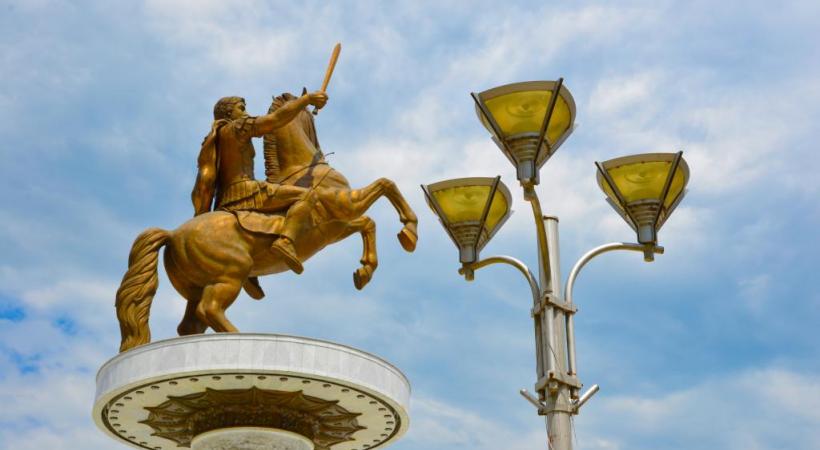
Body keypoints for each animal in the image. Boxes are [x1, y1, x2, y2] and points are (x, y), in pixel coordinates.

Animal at [114, 94, 416, 352]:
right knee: (209, 309)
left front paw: (364, 271)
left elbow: (368, 223)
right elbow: (386, 185)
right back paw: (239, 338)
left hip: (196, 288)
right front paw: (409, 232)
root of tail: (172, 234)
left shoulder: (336, 228)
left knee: (190, 324)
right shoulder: (345, 205)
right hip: (230, 274)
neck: (304, 171)